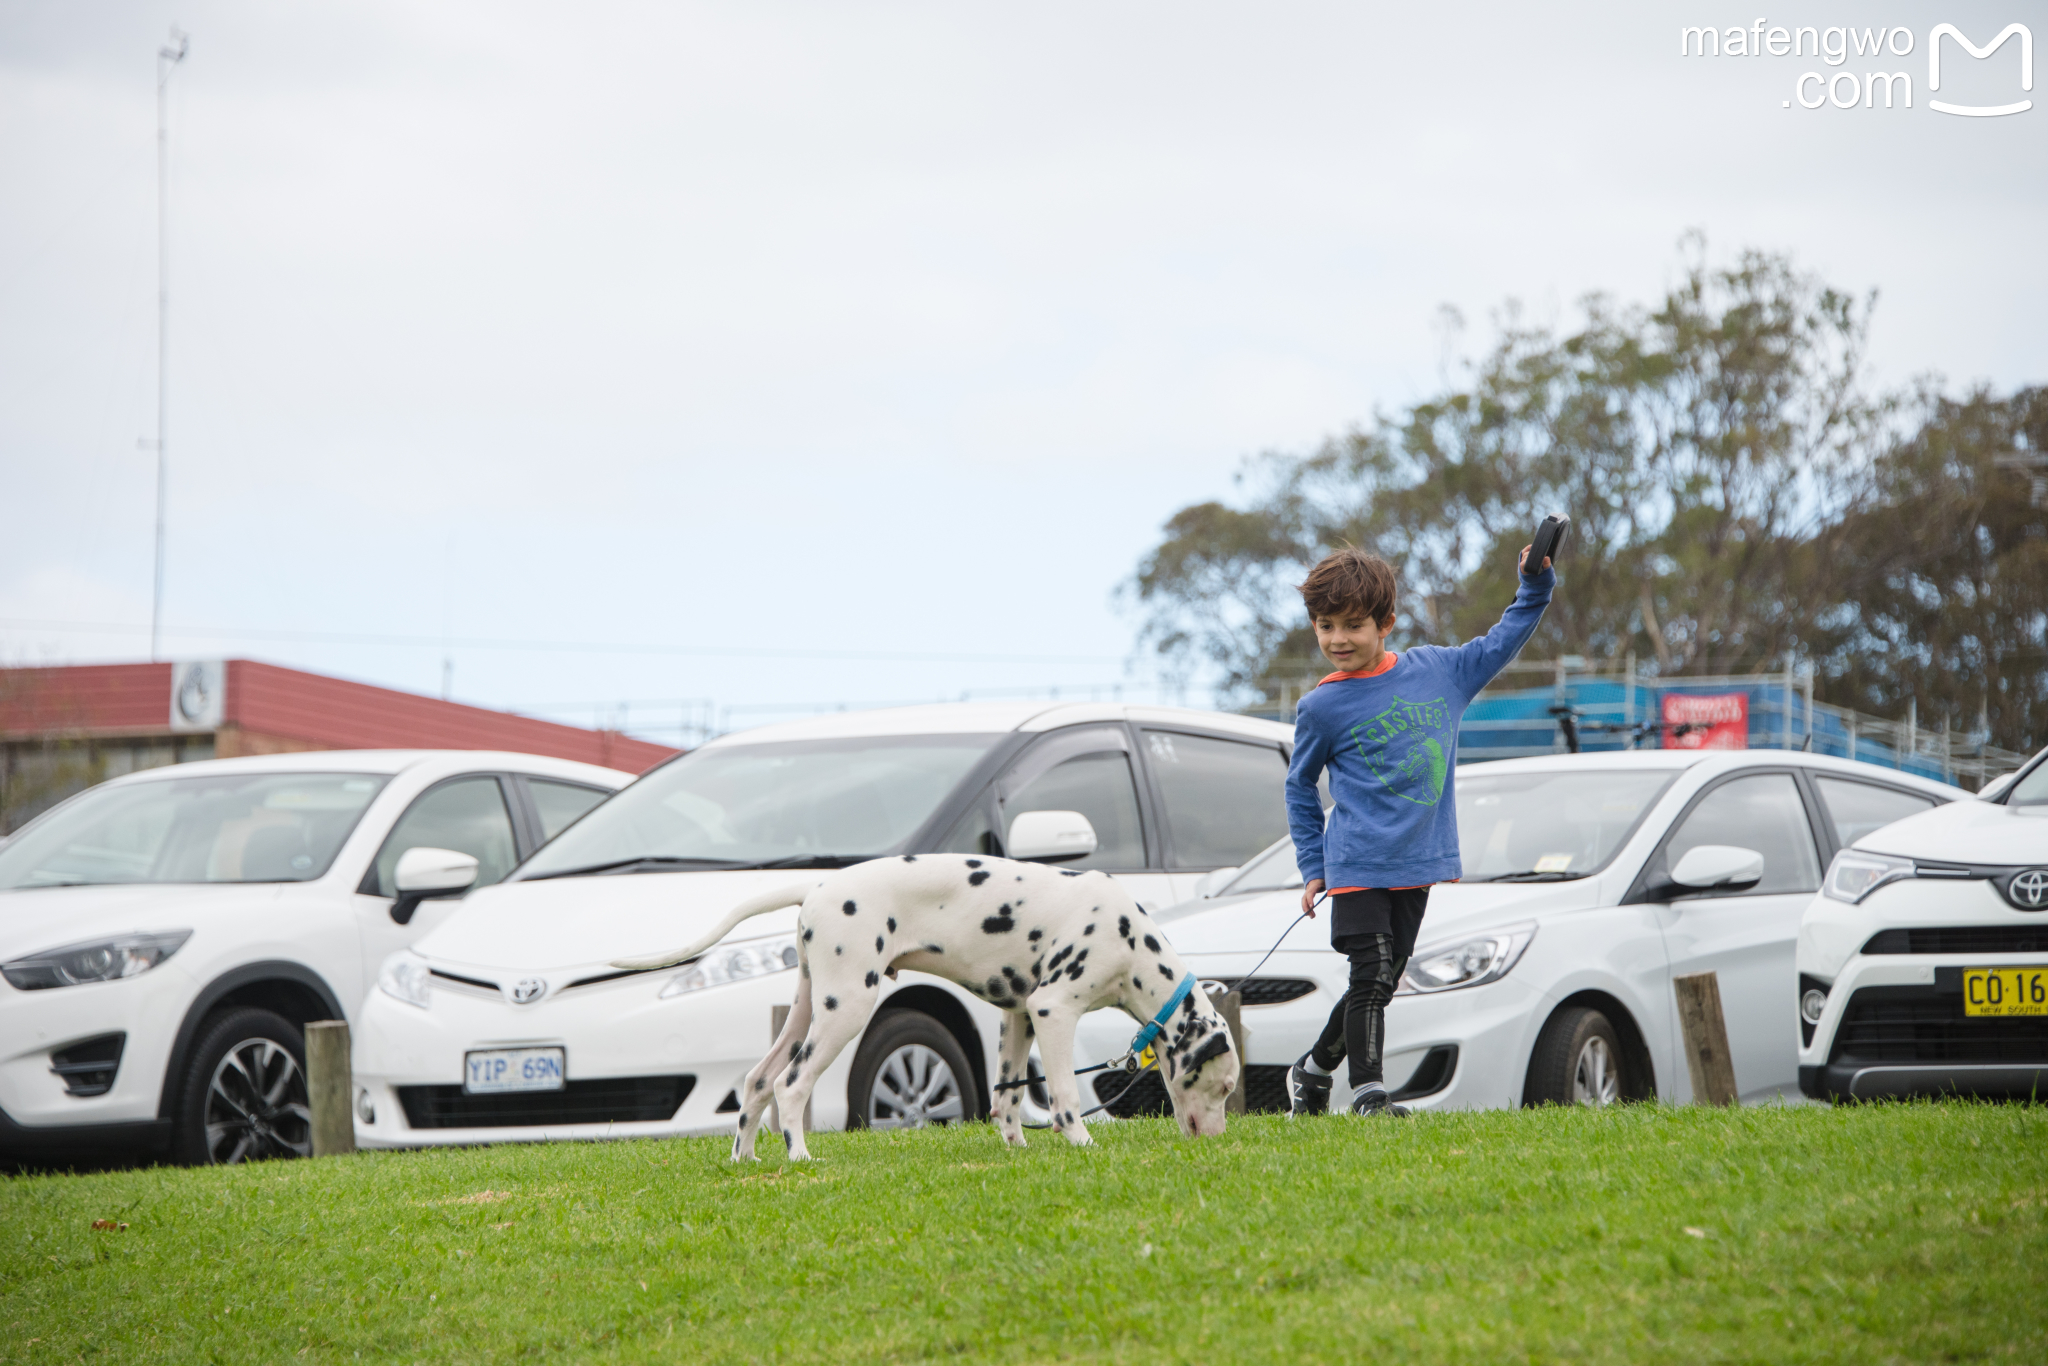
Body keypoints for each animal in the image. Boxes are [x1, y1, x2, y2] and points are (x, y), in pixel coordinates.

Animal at [614, 860, 1236, 1163]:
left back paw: (745, 1160)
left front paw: (1017, 1148)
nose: (1217, 1138)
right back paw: (800, 1156)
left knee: (759, 1082)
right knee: (791, 1086)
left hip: (806, 1010)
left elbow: (1007, 1097)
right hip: (847, 1010)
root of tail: (818, 887)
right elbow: (1063, 1096)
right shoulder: (1053, 1010)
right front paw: (1080, 1143)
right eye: (1226, 1087)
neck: (1134, 945)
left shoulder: (1017, 1015)